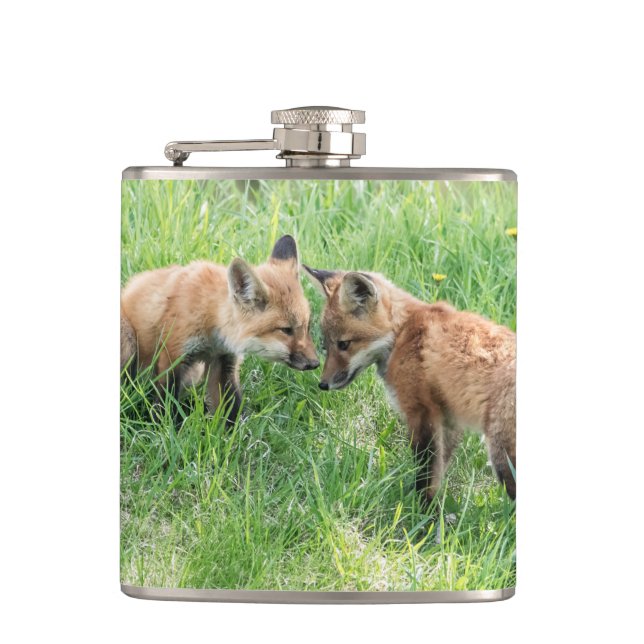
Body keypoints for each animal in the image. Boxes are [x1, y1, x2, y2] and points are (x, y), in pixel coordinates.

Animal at [120, 235, 319, 424]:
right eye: (286, 330)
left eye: (307, 326)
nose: (315, 363)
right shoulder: (173, 356)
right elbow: (165, 406)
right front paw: (166, 429)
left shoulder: (224, 361)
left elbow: (231, 410)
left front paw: (235, 435)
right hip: (128, 342)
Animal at [304, 266, 516, 503]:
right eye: (325, 345)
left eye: (344, 344)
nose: (323, 384)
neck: (402, 334)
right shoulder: (448, 420)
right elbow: (438, 473)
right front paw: (432, 509)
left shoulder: (421, 413)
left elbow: (426, 475)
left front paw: (418, 509)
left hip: (503, 458)